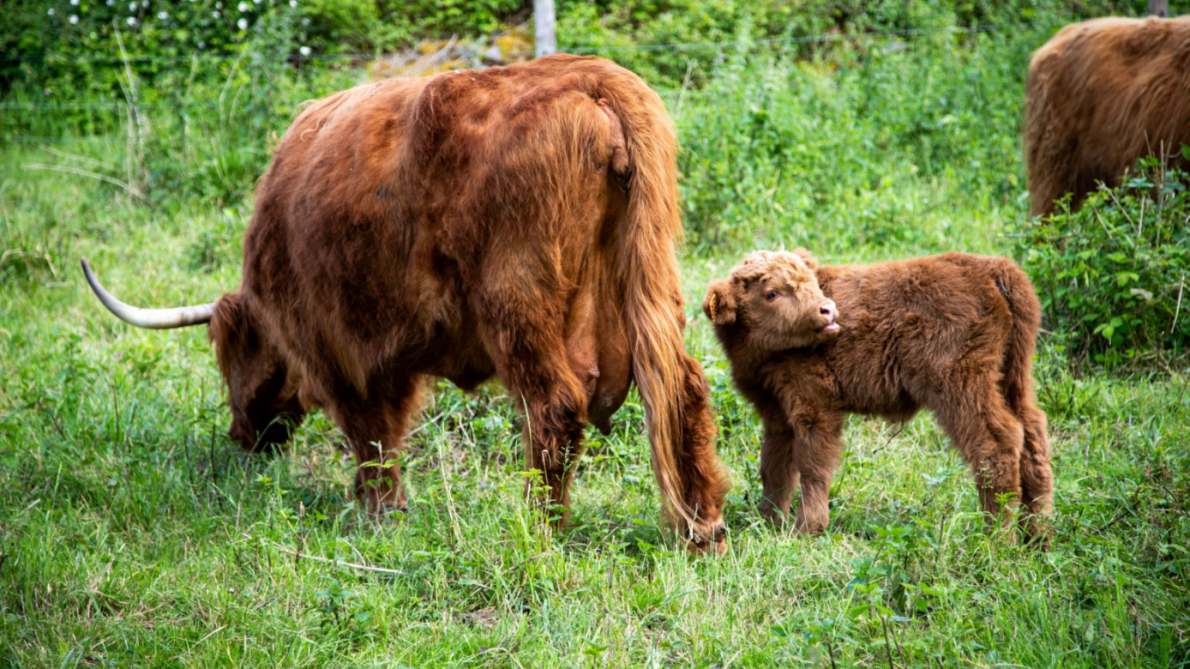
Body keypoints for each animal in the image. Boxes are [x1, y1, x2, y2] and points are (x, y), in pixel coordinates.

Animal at [81, 54, 733, 547]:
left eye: (231, 355)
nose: (244, 435)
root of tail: (588, 74)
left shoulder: (341, 352)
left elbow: (371, 435)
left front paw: (379, 513)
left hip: (517, 299)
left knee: (553, 407)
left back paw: (537, 530)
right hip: (650, 275)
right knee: (682, 386)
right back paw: (702, 529)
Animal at [699, 248, 1056, 542]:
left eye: (811, 283)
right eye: (771, 293)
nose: (827, 310)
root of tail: (994, 269)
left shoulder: (815, 405)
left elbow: (812, 464)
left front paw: (807, 528)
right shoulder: (775, 411)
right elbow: (774, 466)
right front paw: (768, 522)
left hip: (962, 385)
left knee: (997, 443)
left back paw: (995, 540)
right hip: (1013, 377)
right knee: (1033, 433)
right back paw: (1038, 537)